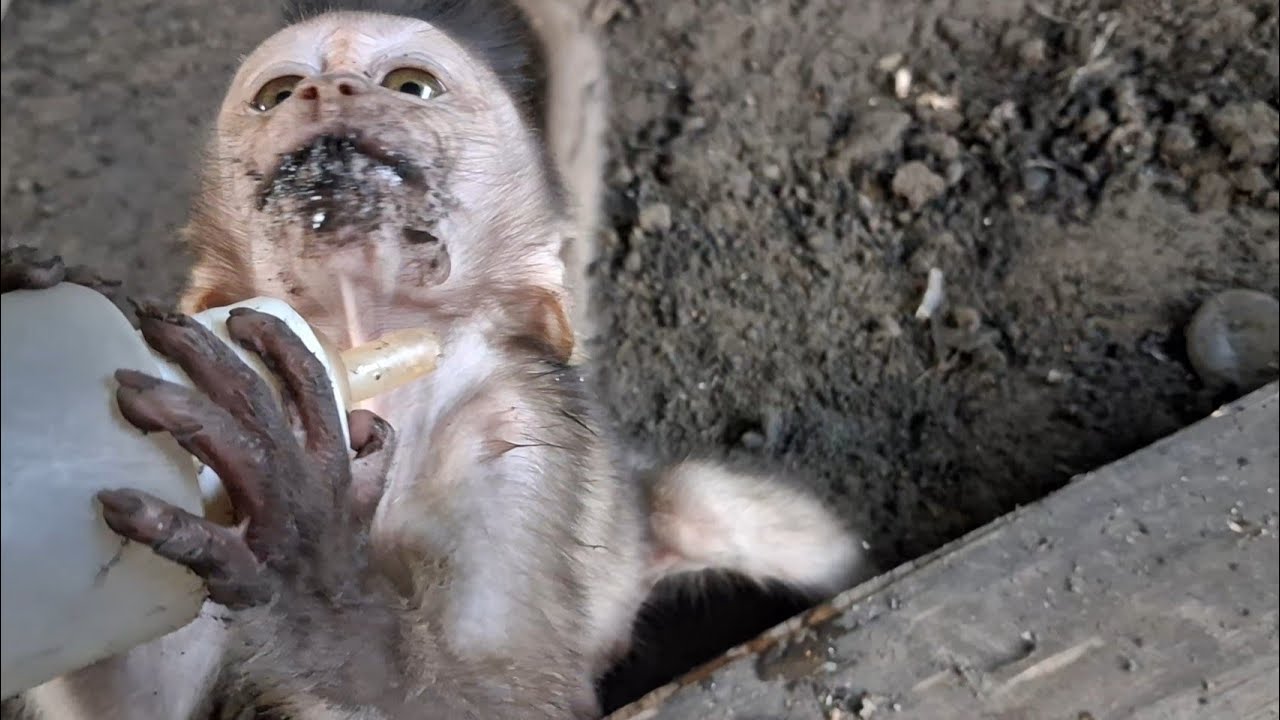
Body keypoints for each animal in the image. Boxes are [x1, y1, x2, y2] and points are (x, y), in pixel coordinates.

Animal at [2, 1, 876, 718]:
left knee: (717, 510)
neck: (365, 360)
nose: (329, 91)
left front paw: (306, 540)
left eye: (411, 86)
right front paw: (22, 278)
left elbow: (522, 700)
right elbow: (130, 694)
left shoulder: (520, 426)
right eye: (278, 94)